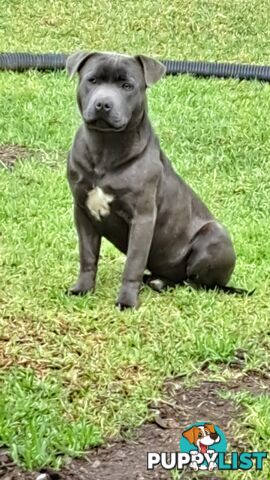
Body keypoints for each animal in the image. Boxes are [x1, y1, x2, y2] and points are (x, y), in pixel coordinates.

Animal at [67, 51, 247, 308]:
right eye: (92, 80)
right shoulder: (83, 212)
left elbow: (132, 263)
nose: (103, 104)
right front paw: (82, 289)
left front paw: (127, 301)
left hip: (215, 235)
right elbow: (88, 256)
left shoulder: (142, 218)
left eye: (127, 85)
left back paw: (163, 284)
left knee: (199, 284)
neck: (106, 147)